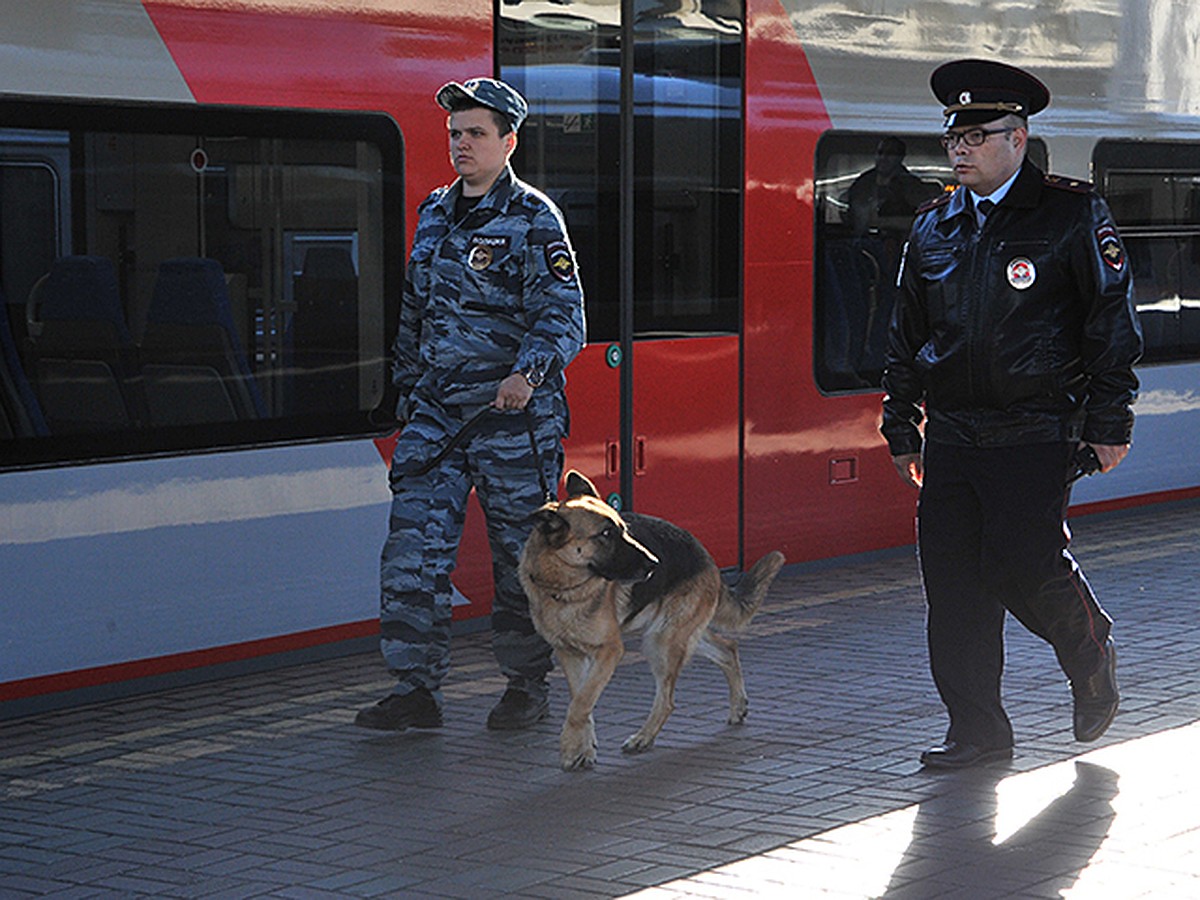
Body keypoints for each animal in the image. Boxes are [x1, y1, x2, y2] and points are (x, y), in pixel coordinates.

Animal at [518, 468, 787, 772]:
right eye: (606, 534)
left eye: (623, 529)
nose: (654, 563)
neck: (563, 588)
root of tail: (706, 557)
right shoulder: (570, 654)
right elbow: (581, 700)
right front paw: (583, 749)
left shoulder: (609, 651)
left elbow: (580, 704)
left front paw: (568, 747)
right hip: (672, 636)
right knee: (728, 648)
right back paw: (738, 705)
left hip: (661, 642)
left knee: (668, 700)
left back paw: (643, 738)